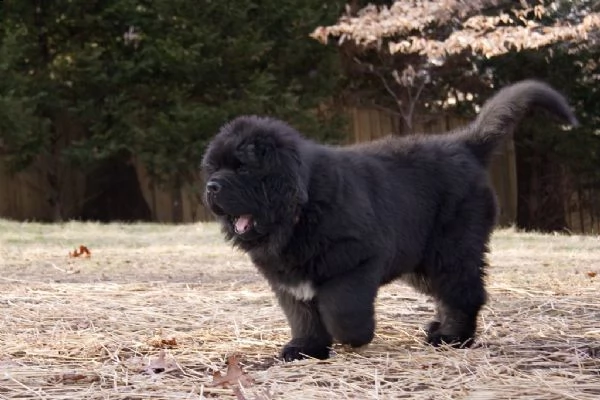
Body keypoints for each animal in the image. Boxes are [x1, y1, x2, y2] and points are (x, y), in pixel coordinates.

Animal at [204, 79, 580, 360]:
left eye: (242, 167)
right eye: (213, 168)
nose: (211, 186)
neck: (299, 211)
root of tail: (462, 145)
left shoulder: (355, 263)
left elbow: (342, 311)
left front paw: (353, 337)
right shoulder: (291, 283)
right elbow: (304, 318)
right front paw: (306, 348)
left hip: (451, 250)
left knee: (464, 294)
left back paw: (452, 338)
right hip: (422, 261)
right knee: (448, 294)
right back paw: (440, 329)